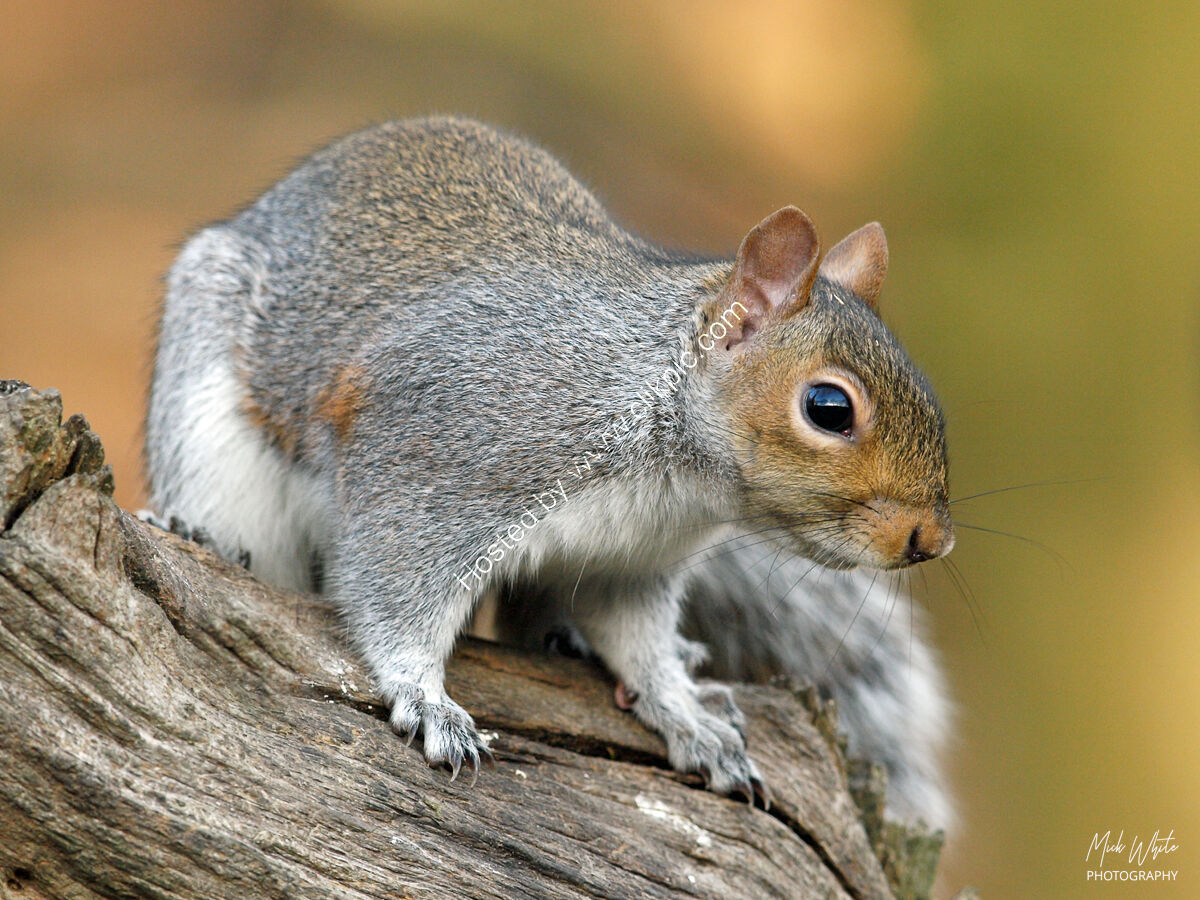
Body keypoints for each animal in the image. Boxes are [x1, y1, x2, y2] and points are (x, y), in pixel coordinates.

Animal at [145, 116, 954, 810]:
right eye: (829, 407)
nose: (932, 541)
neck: (671, 472)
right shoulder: (433, 460)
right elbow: (392, 592)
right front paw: (425, 698)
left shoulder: (629, 564)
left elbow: (638, 644)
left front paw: (683, 712)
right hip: (210, 421)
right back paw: (201, 534)